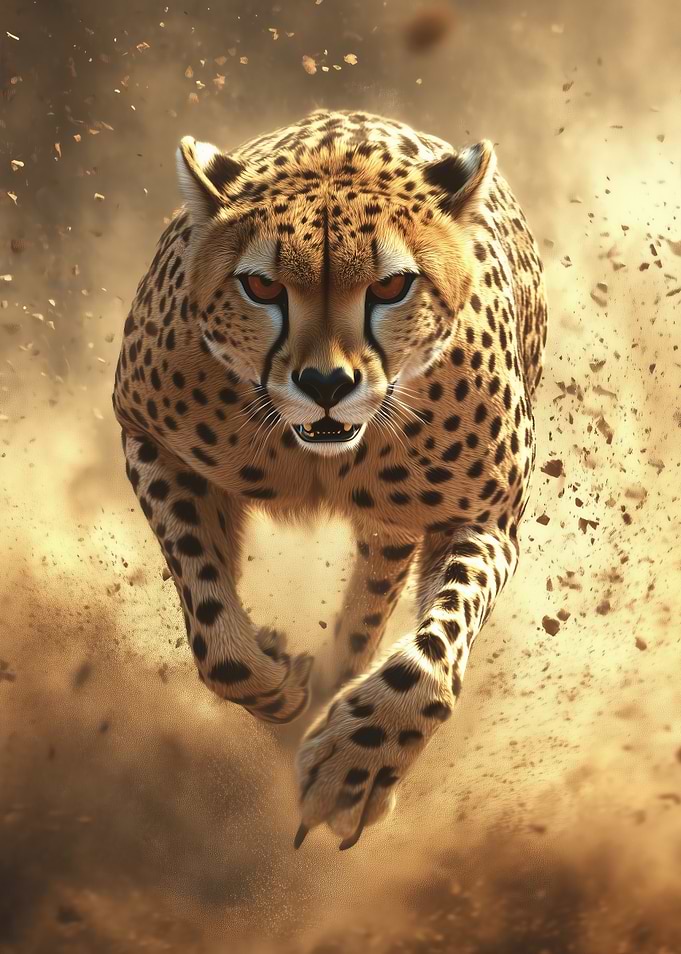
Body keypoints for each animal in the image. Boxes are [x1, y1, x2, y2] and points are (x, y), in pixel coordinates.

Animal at [112, 108, 548, 851]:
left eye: (391, 286)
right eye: (261, 287)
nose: (324, 384)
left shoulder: (485, 517)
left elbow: (433, 652)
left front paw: (357, 760)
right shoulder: (147, 437)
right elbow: (210, 620)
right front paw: (270, 673)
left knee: (369, 614)